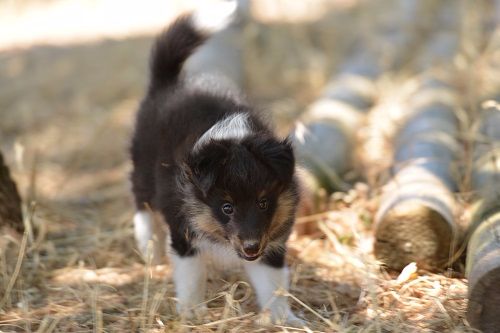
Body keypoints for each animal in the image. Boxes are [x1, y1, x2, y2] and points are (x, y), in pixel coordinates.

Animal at [129, 1, 300, 324]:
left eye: (263, 202)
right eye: (227, 207)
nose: (251, 246)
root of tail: (168, 85)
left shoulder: (271, 242)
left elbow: (272, 281)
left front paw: (283, 318)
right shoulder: (184, 230)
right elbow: (191, 274)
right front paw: (192, 312)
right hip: (142, 167)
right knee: (141, 205)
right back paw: (149, 247)